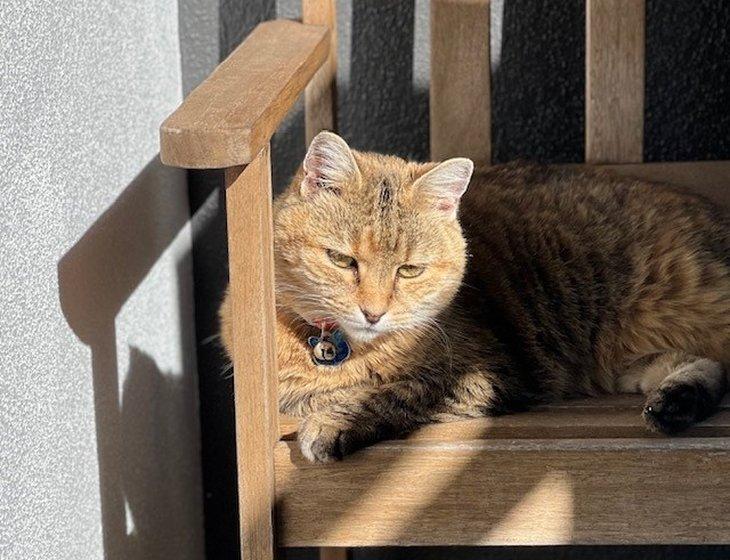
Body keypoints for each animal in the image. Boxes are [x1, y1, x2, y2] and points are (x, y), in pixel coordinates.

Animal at [218, 131, 728, 464]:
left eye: (409, 269)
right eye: (343, 260)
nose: (373, 313)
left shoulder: (490, 373)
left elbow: (390, 390)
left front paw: (334, 419)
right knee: (701, 365)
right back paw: (675, 403)